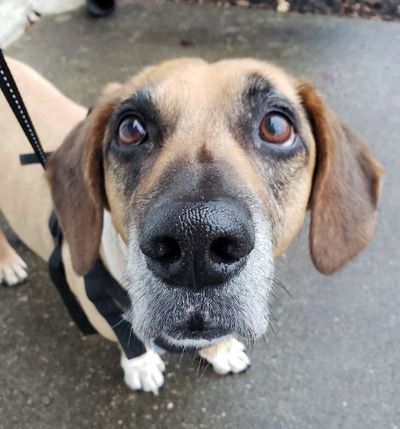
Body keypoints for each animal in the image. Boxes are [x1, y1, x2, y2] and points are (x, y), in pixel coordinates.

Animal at [0, 57, 382, 394]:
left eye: (276, 127)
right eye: (130, 129)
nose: (195, 238)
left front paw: (220, 350)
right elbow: (129, 338)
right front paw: (141, 364)